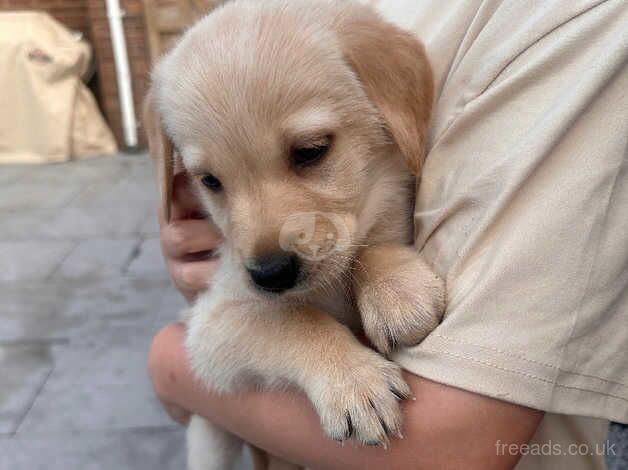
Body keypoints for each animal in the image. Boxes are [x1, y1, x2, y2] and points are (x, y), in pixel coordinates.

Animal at [145, 0, 444, 470]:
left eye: (310, 151)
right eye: (210, 181)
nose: (270, 274)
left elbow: (371, 243)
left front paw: (396, 292)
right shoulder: (210, 322)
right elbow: (290, 320)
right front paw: (353, 382)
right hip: (209, 434)